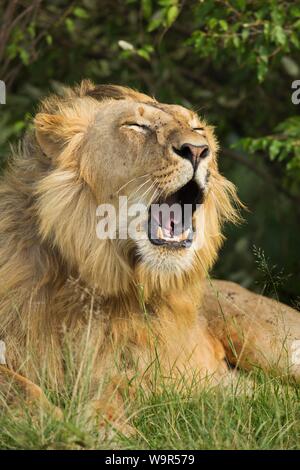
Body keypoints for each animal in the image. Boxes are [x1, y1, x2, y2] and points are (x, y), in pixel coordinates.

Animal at [0, 81, 298, 422]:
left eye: (197, 129)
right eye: (136, 126)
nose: (198, 150)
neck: (93, 283)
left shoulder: (152, 368)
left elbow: (117, 387)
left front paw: (101, 425)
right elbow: (16, 387)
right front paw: (49, 421)